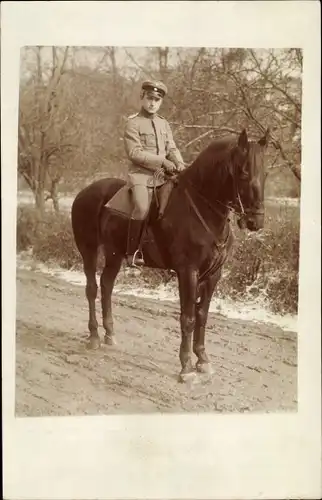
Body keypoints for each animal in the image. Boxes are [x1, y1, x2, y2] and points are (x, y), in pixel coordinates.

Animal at [71, 127, 270, 380]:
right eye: (243, 172)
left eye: (264, 173)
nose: (256, 221)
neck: (201, 208)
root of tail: (84, 192)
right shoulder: (187, 272)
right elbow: (188, 317)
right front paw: (186, 367)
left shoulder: (213, 275)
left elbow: (202, 316)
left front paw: (203, 359)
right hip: (88, 250)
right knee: (92, 289)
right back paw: (95, 336)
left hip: (114, 255)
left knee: (106, 286)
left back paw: (110, 334)